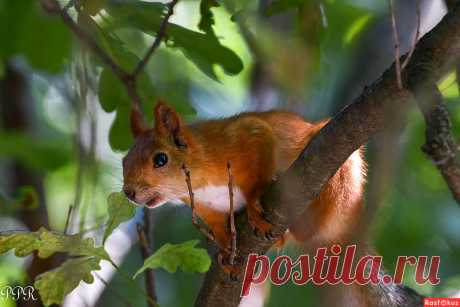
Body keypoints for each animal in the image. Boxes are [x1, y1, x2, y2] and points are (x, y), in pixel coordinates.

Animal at [123, 100, 366, 258]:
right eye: (124, 160)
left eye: (160, 159)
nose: (128, 192)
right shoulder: (202, 204)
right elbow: (214, 222)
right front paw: (223, 244)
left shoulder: (246, 135)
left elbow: (260, 159)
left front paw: (253, 204)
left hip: (342, 179)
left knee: (312, 228)